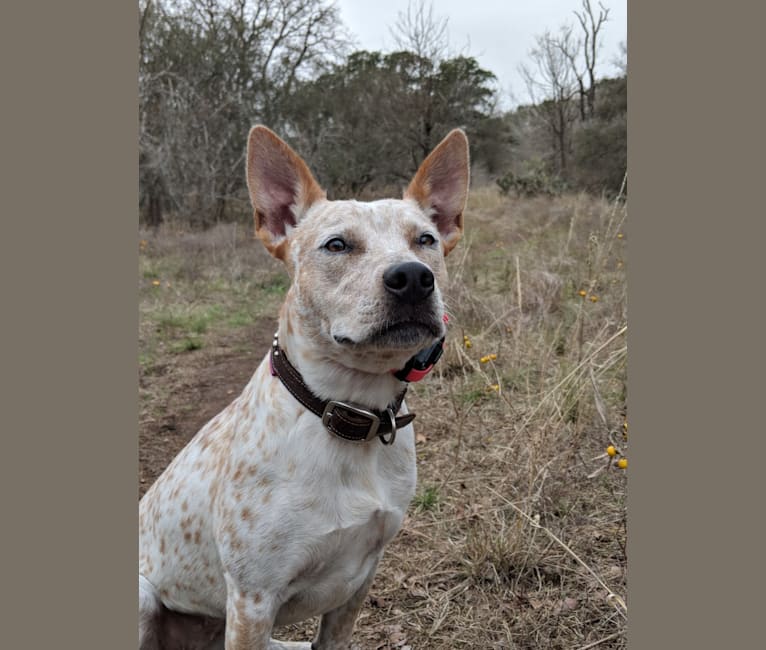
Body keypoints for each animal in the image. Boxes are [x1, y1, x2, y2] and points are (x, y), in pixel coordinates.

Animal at [140, 124, 472, 644]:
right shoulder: (253, 601)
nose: (413, 278)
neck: (349, 412)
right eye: (336, 245)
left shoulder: (358, 584)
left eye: (426, 239)